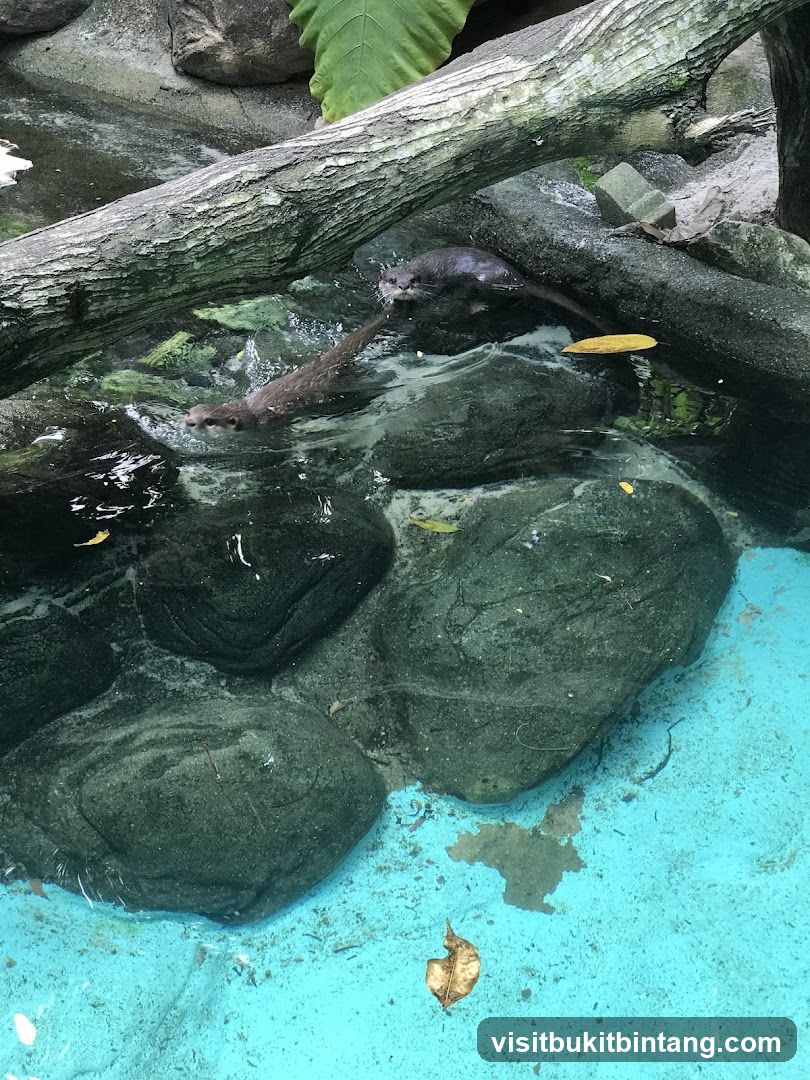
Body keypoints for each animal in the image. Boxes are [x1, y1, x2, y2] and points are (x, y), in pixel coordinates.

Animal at [378, 246, 606, 332]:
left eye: (413, 280)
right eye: (392, 280)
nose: (403, 286)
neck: (424, 273)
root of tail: (518, 277)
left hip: (487, 279)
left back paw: (477, 306)